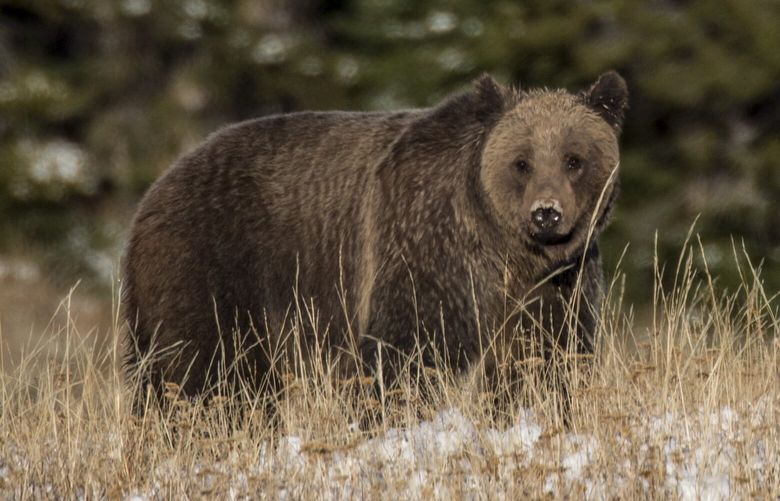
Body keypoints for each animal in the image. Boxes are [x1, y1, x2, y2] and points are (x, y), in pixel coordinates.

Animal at [125, 71, 632, 406]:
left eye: (573, 159)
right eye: (522, 162)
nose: (546, 214)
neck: (505, 251)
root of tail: (156, 189)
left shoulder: (556, 285)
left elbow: (547, 356)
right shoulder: (424, 248)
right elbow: (407, 351)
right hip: (213, 261)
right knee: (206, 369)